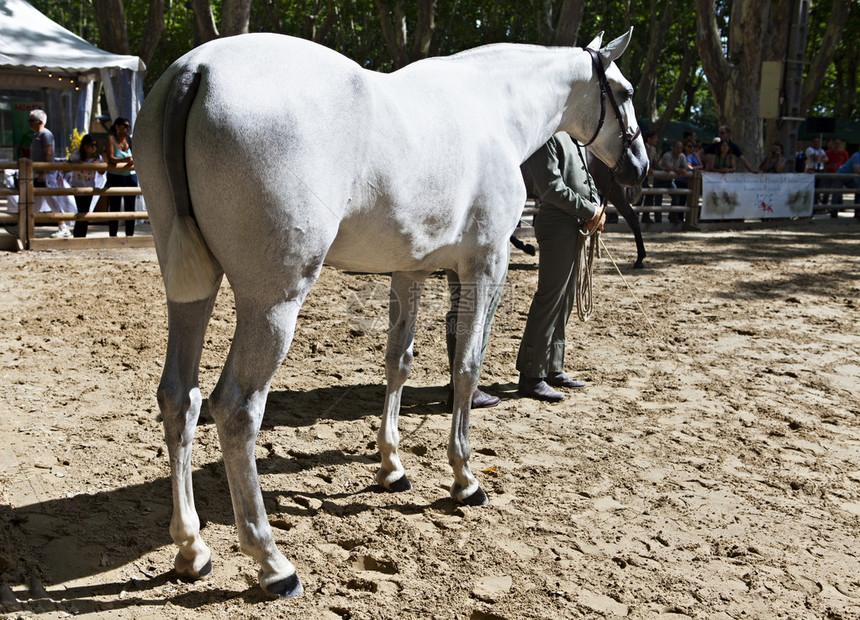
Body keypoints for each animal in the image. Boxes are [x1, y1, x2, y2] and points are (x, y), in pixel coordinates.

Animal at [134, 31, 644, 600]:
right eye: (624, 92)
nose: (639, 166)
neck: (491, 105)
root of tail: (197, 68)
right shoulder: (486, 265)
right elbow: (466, 368)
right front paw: (465, 479)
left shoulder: (410, 271)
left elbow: (397, 364)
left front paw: (392, 467)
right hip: (273, 302)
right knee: (237, 410)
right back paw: (272, 562)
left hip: (191, 286)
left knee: (180, 398)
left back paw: (192, 550)